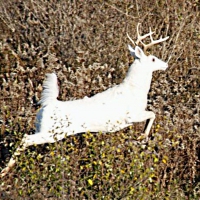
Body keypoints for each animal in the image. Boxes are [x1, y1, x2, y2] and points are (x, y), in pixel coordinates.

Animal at [0, 23, 169, 177]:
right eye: (153, 59)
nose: (166, 65)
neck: (135, 89)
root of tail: (48, 104)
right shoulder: (132, 115)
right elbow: (152, 114)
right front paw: (143, 136)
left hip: (42, 129)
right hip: (51, 132)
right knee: (26, 139)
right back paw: (5, 171)